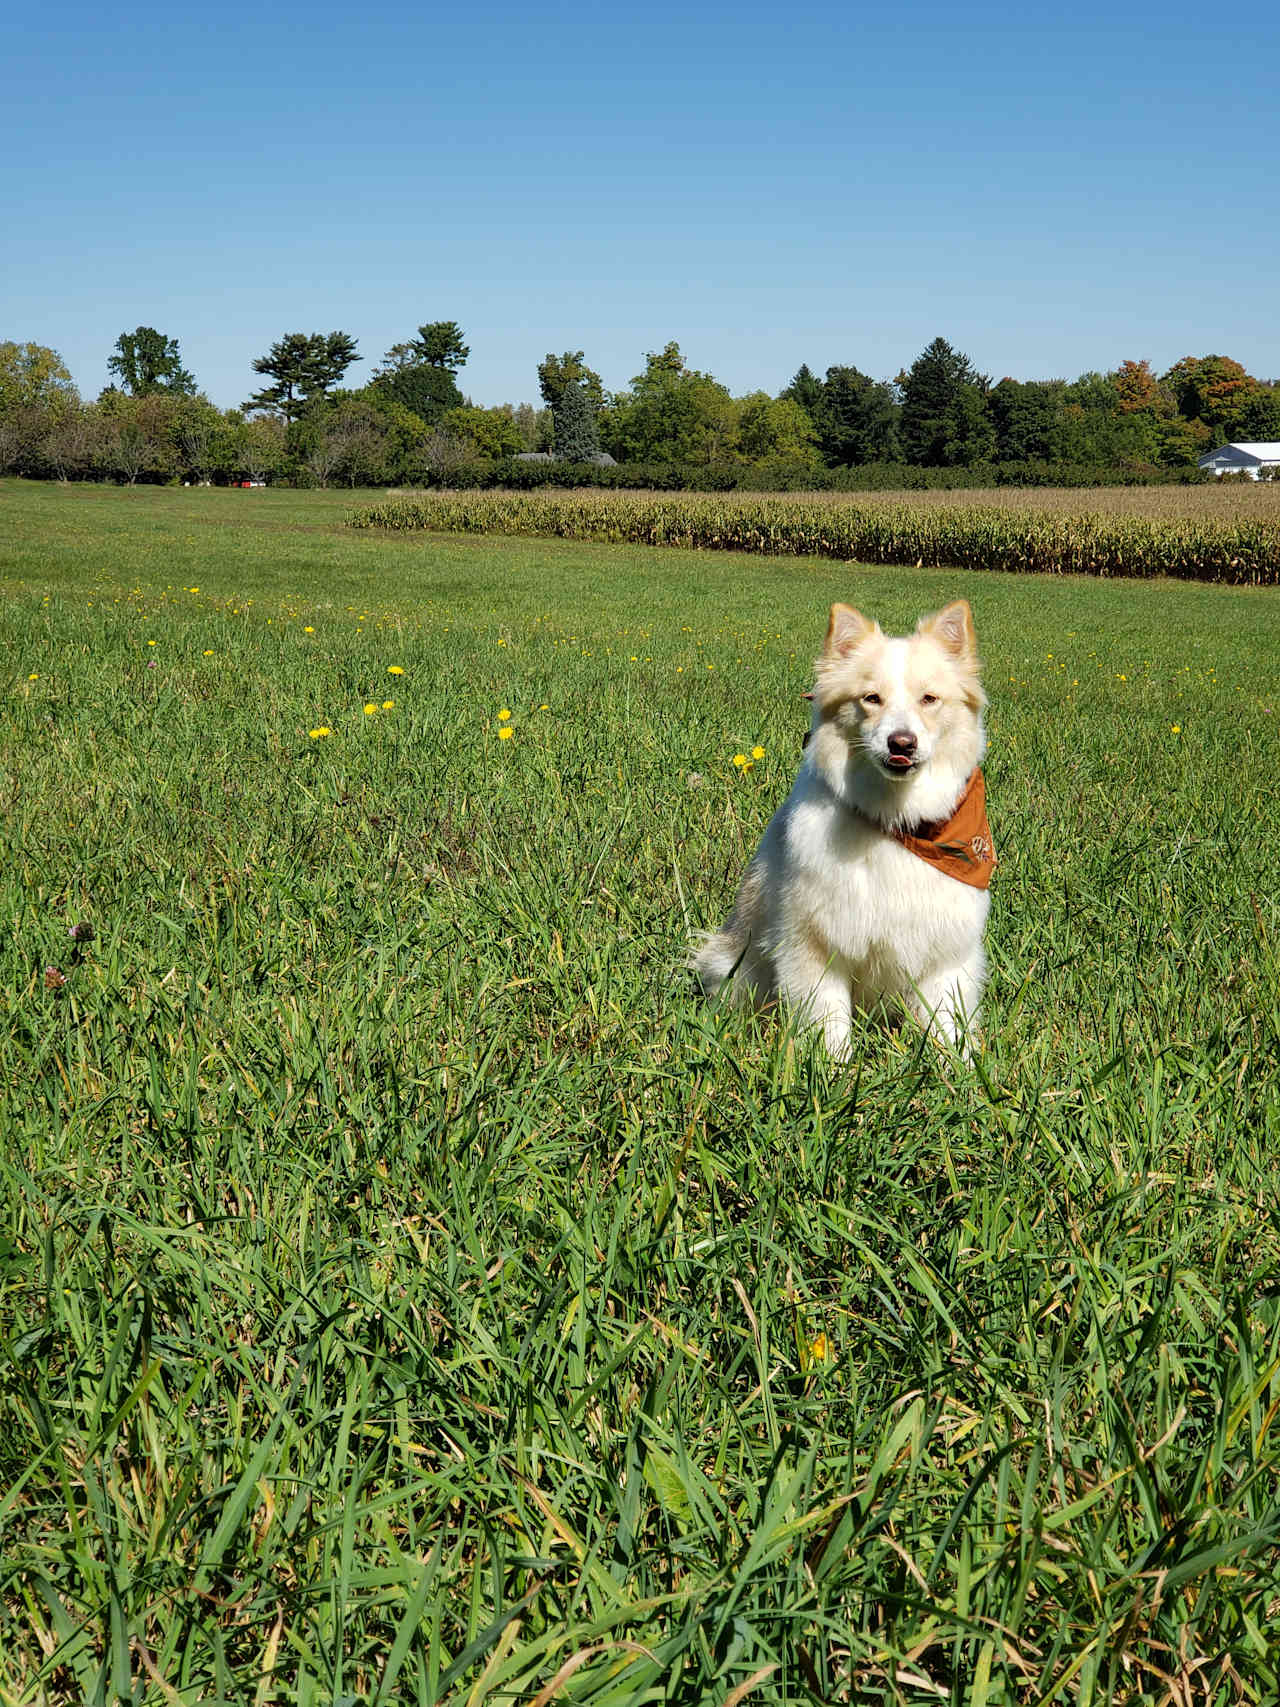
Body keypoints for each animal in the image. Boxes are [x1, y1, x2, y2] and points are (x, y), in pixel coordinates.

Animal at [696, 600, 996, 1051]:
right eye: (871, 699)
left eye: (929, 699)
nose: (901, 743)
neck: (898, 821)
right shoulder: (815, 946)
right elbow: (830, 1025)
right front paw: (832, 1066)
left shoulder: (946, 953)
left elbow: (947, 1026)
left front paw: (956, 1066)